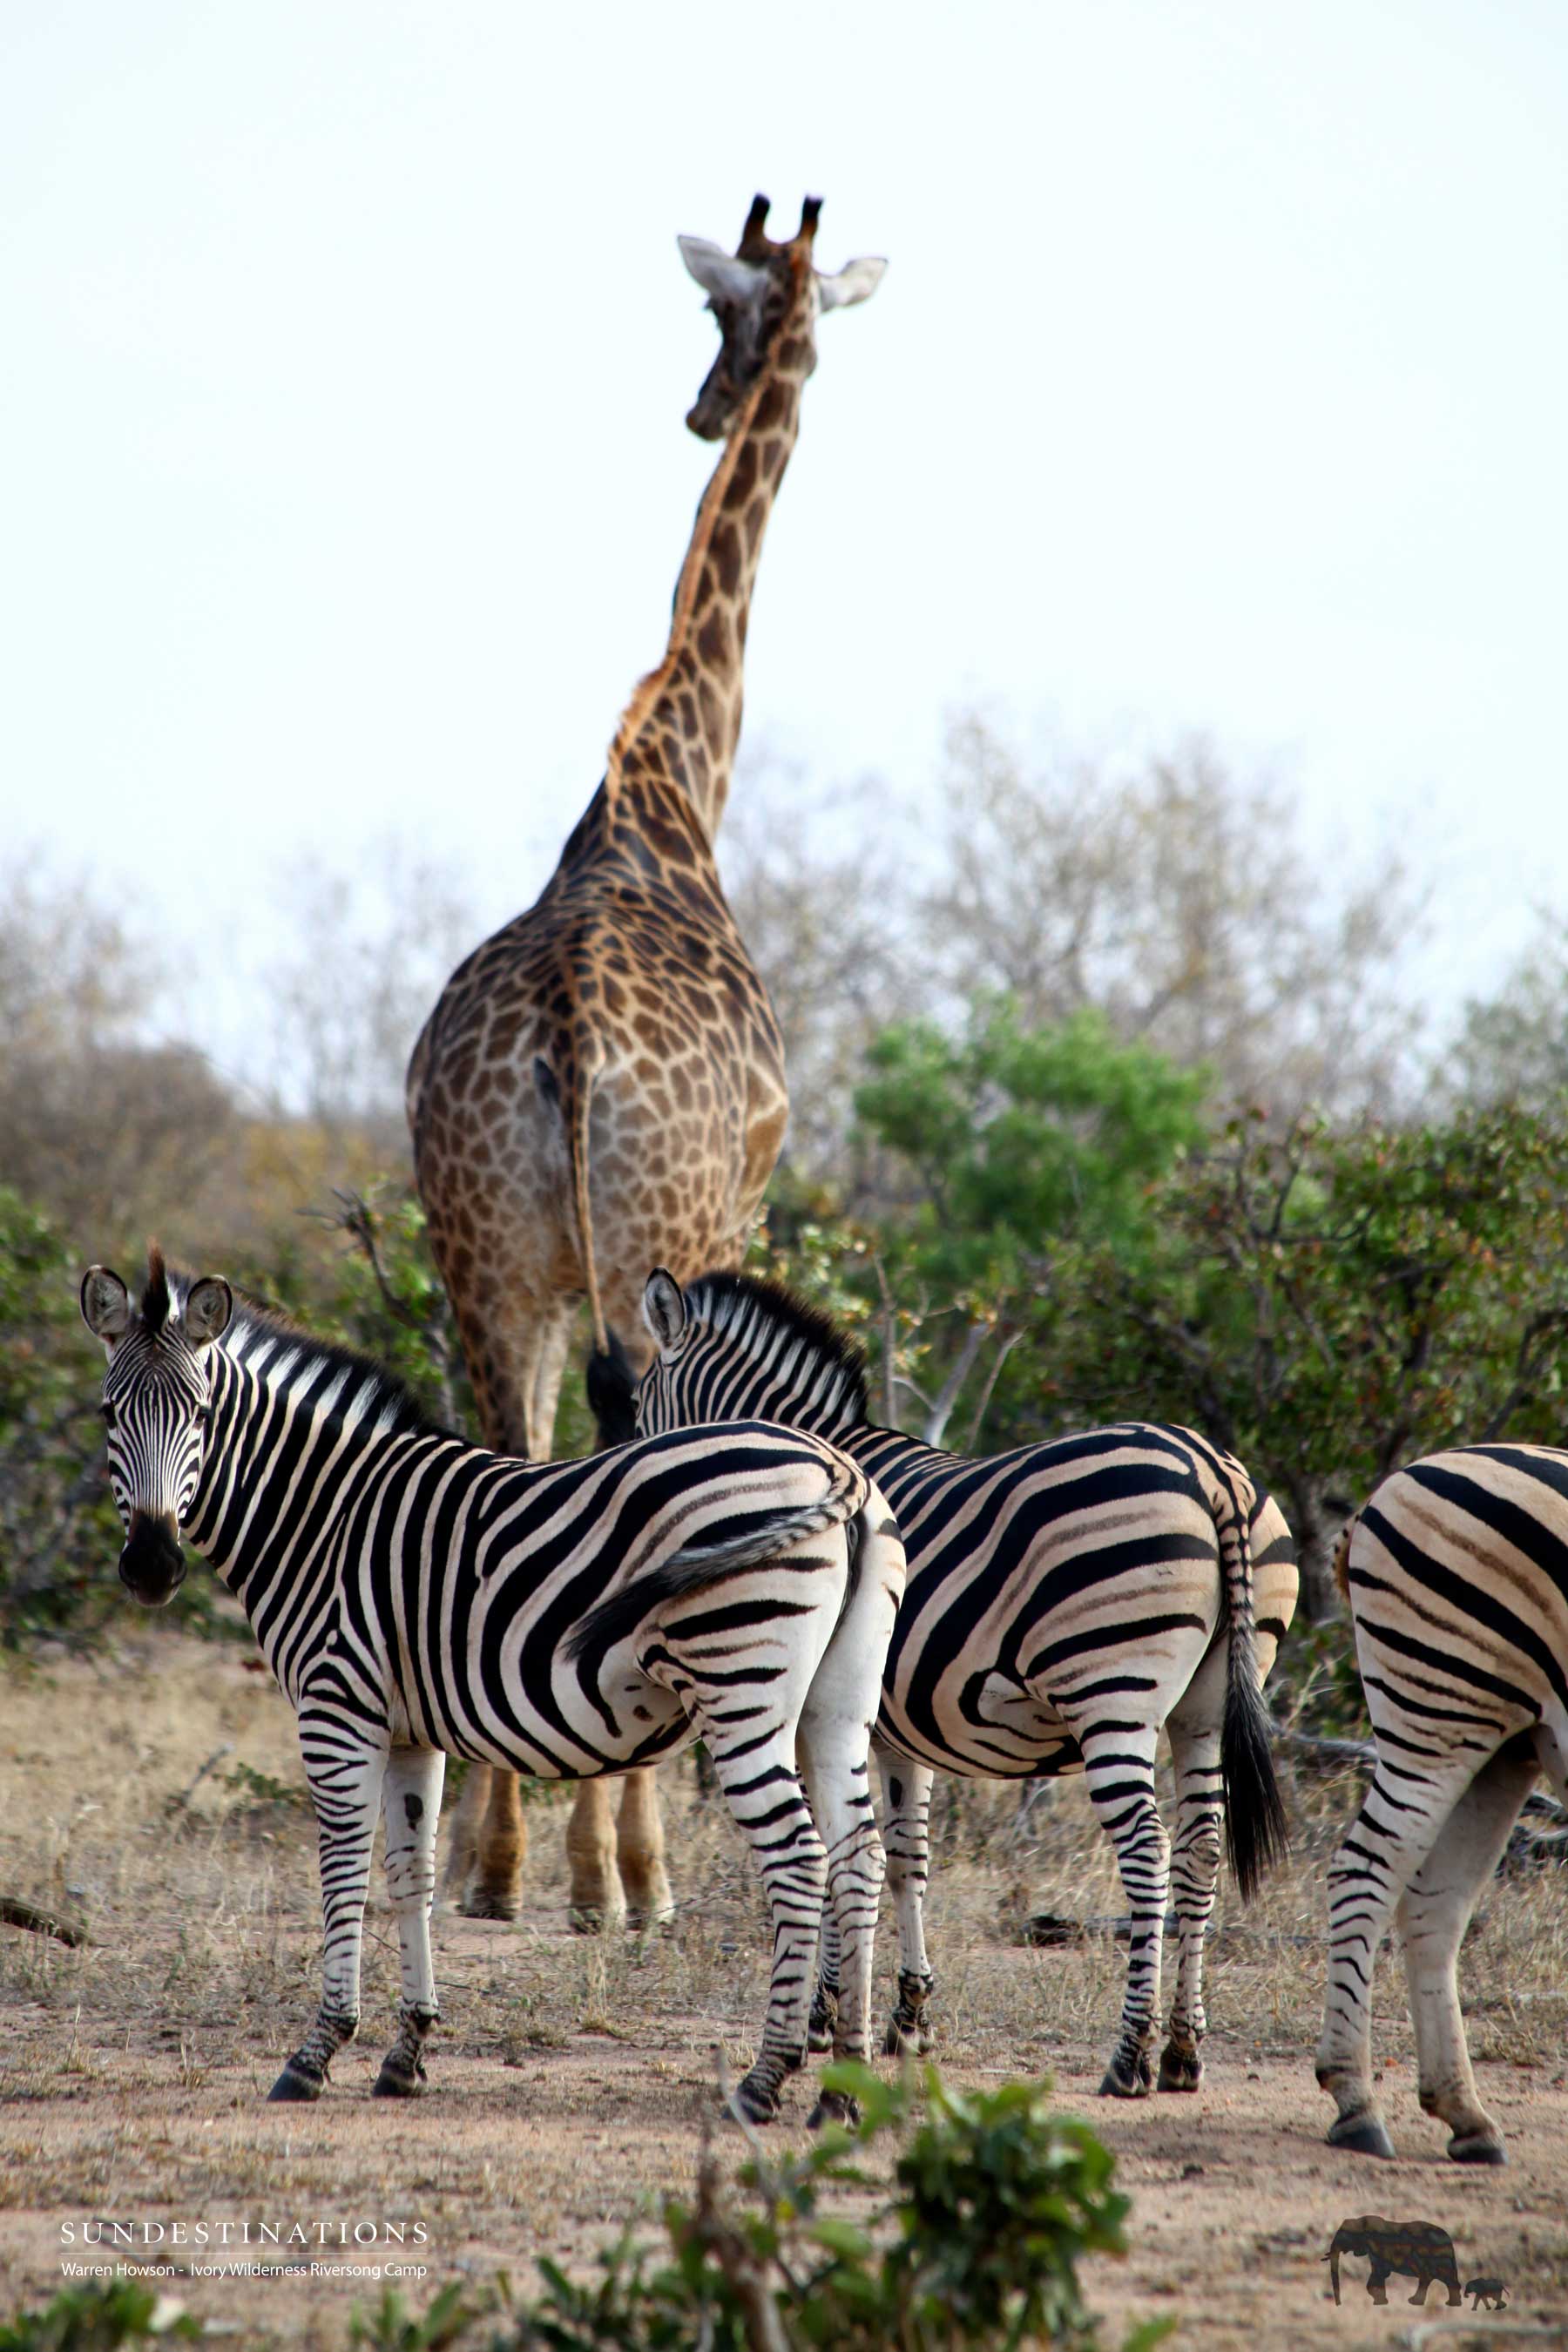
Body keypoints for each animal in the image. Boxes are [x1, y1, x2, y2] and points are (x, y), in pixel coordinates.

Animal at [79, 1250, 905, 2127]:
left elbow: (343, 1872)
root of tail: (837, 1467)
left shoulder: (338, 1709)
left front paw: (316, 2052)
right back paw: (843, 2088)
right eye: (107, 1414)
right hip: (836, 1708)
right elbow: (411, 1875)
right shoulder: (410, 1730)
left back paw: (763, 2081)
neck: (321, 1517)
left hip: (741, 1689)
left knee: (801, 1862)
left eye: (201, 1415)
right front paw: (407, 2052)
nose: (151, 1566)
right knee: (859, 1860)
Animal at [405, 193, 886, 1927]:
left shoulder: (531, 1274)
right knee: (624, 1463)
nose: (699, 404)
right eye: (719, 315)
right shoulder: (735, 1220)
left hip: (482, 1252)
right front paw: (625, 1863)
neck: (668, 791)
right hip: (641, 1240)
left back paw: (490, 1864)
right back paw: (627, 1871)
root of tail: (564, 1036)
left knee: (504, 1456)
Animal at [623, 1268, 1298, 2099]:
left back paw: (1128, 2056)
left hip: (1111, 1693)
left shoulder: (827, 1718)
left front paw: (825, 2017)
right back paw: (1181, 2049)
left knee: (1149, 1849)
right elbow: (906, 1858)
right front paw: (907, 2017)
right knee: (1201, 1847)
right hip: (1205, 1707)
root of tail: (1210, 1469)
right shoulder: (897, 1732)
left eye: (638, 1409)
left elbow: (842, 1857)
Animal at [1316, 1446, 1568, 2165]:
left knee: (1436, 1903)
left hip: (1505, 1746)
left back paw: (1466, 2116)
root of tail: (1387, 1487)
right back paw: (1356, 2104)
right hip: (1440, 1709)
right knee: (1365, 1870)